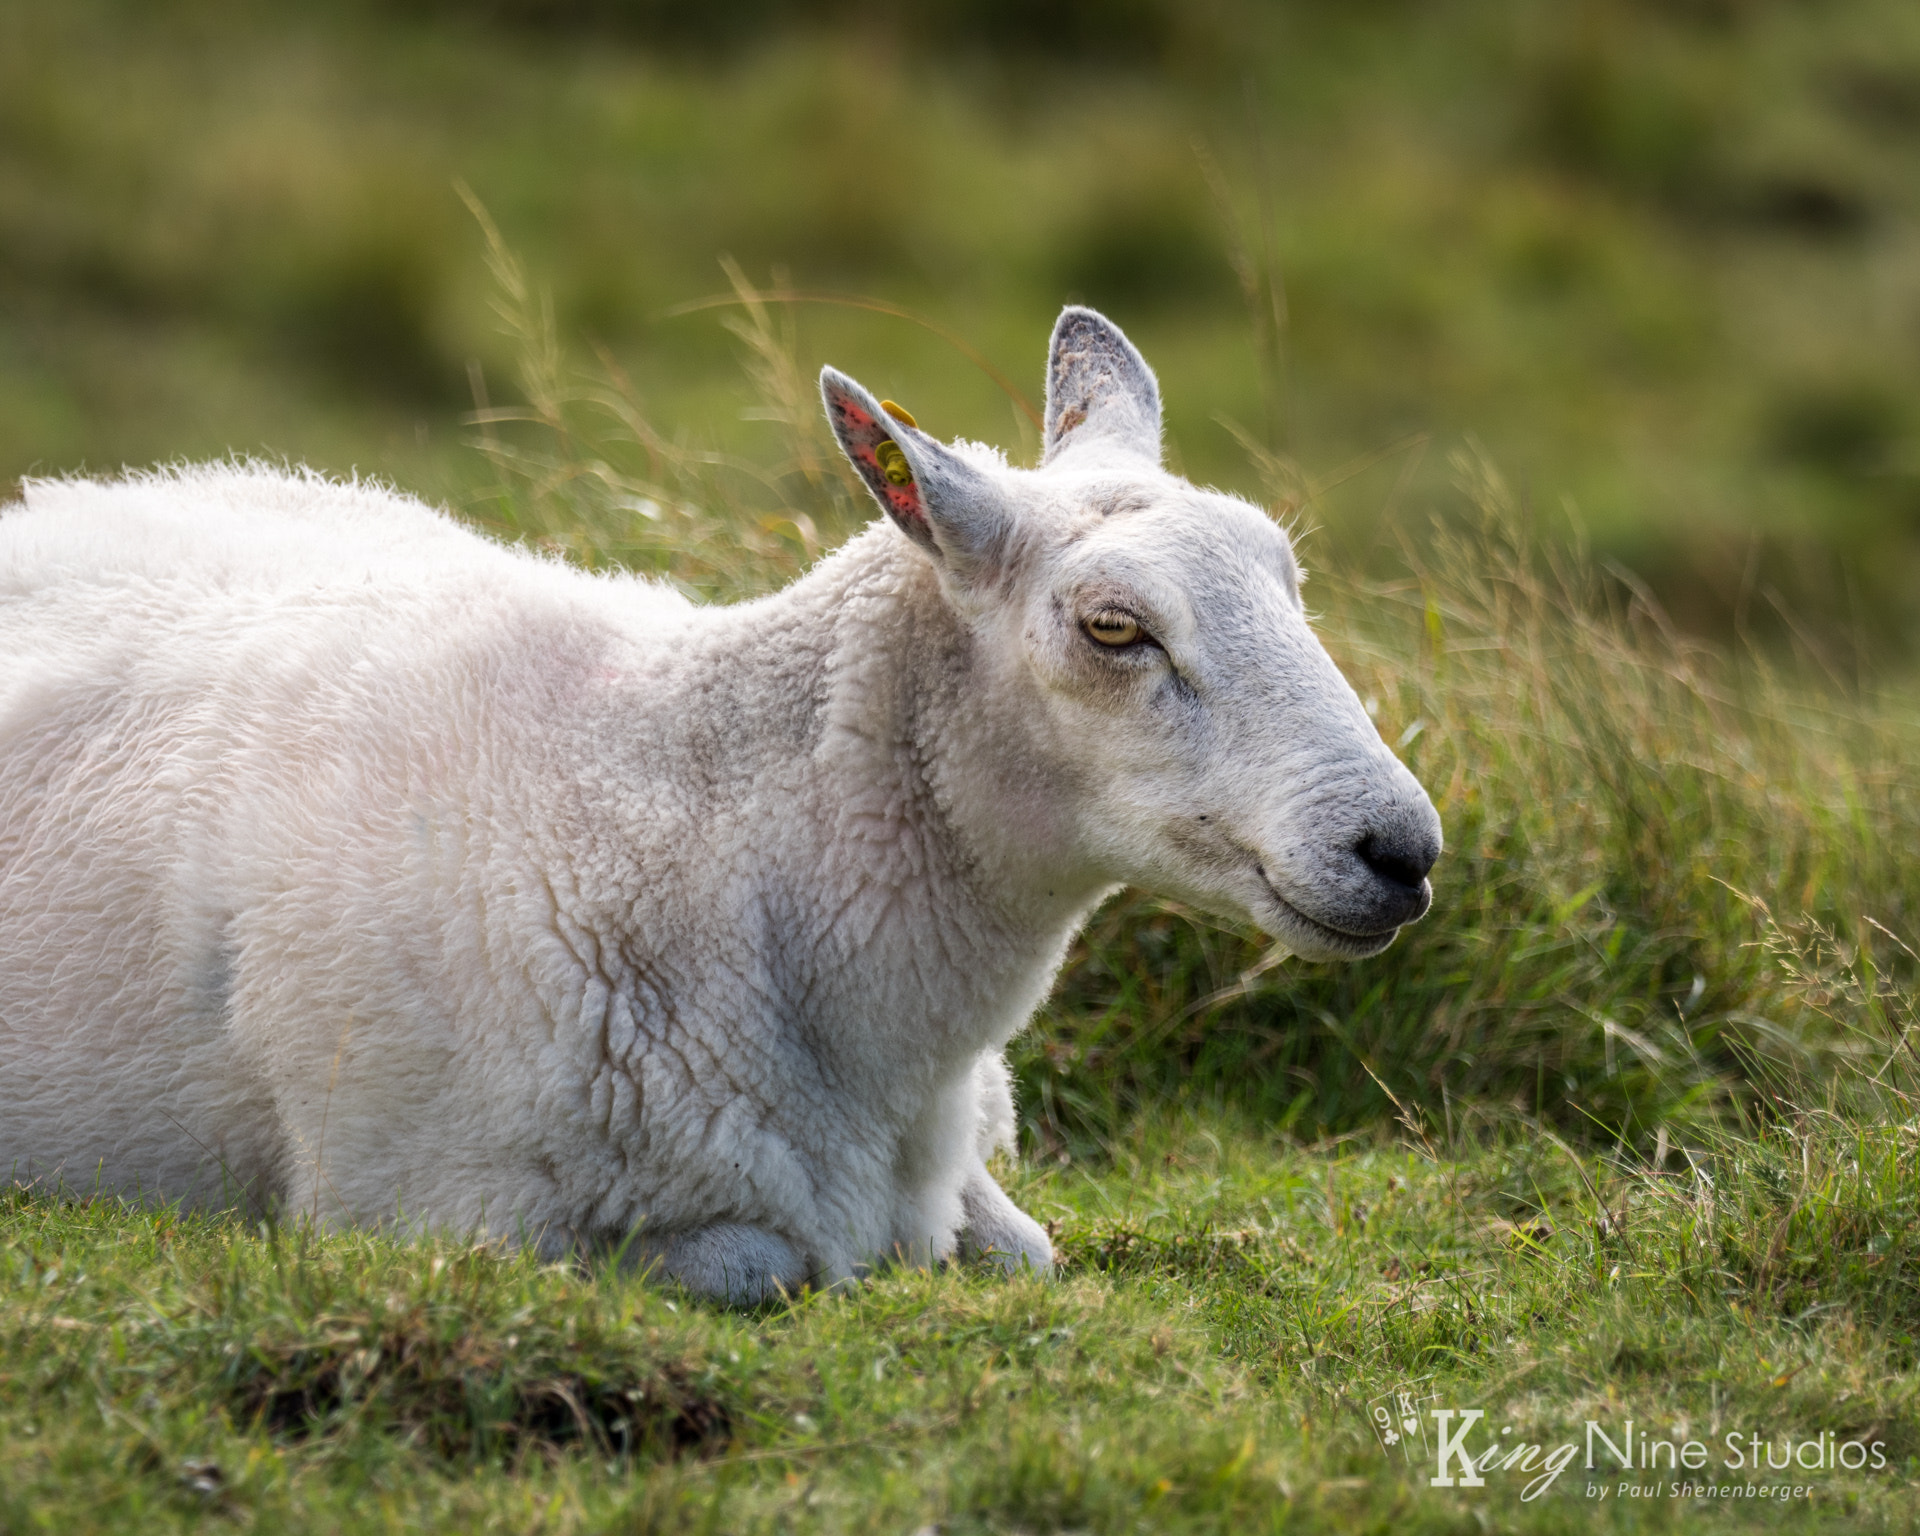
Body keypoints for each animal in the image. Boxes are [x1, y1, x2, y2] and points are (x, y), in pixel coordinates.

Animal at [0, 305, 1443, 1305]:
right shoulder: (429, 1213)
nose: (1403, 848)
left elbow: (1023, 1251)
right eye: (1112, 626)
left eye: (1290, 577)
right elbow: (766, 1263)